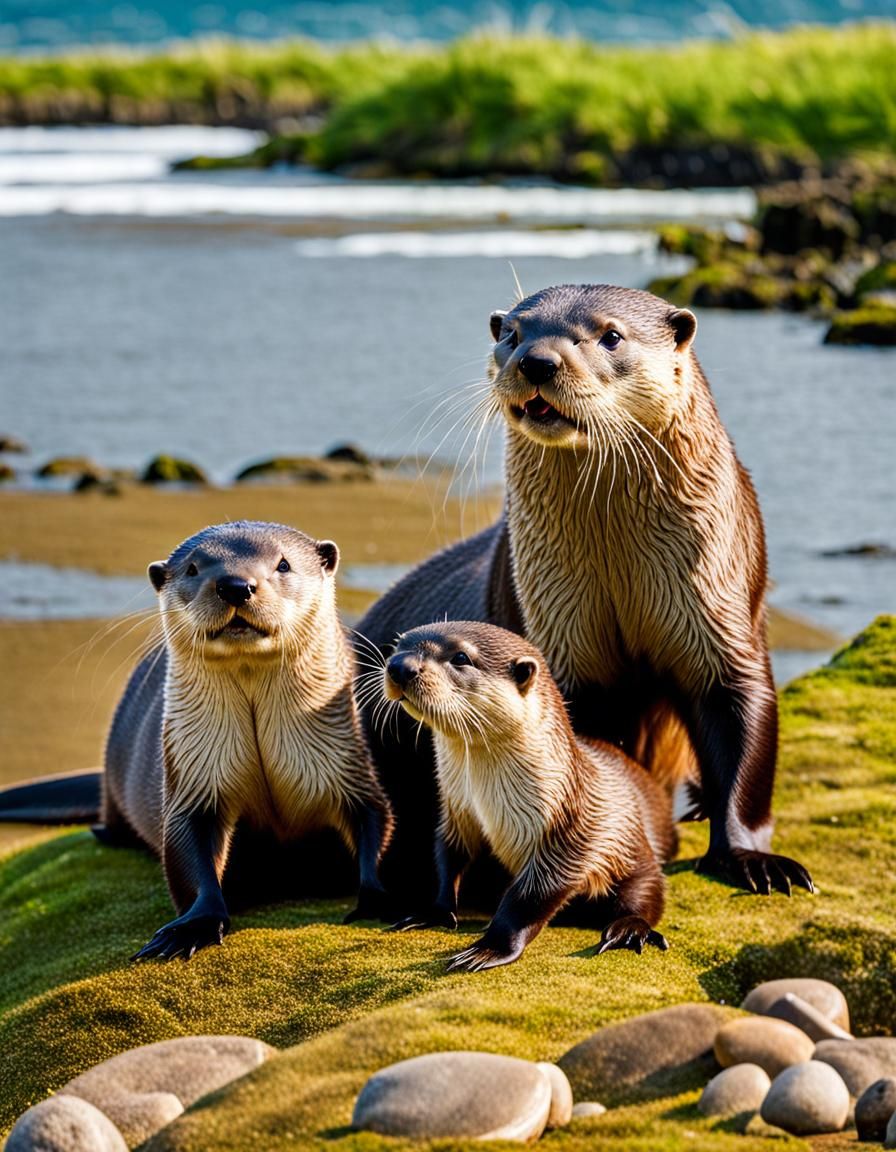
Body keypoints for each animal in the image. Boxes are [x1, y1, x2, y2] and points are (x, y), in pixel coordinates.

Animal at [98, 520, 392, 960]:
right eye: (193, 568)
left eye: (284, 563)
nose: (235, 585)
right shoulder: (193, 778)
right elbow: (187, 853)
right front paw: (194, 926)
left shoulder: (349, 764)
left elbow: (376, 822)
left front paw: (381, 898)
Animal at [359, 283, 813, 902]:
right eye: (513, 333)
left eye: (611, 335)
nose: (537, 361)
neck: (620, 574)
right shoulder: (556, 630)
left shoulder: (721, 619)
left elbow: (744, 719)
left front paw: (752, 859)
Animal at [383, 621, 675, 971]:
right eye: (399, 644)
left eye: (461, 657)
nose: (400, 666)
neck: (489, 801)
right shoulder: (456, 810)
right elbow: (447, 858)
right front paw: (434, 911)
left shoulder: (570, 832)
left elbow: (526, 899)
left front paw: (488, 949)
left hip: (635, 853)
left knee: (646, 893)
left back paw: (627, 929)